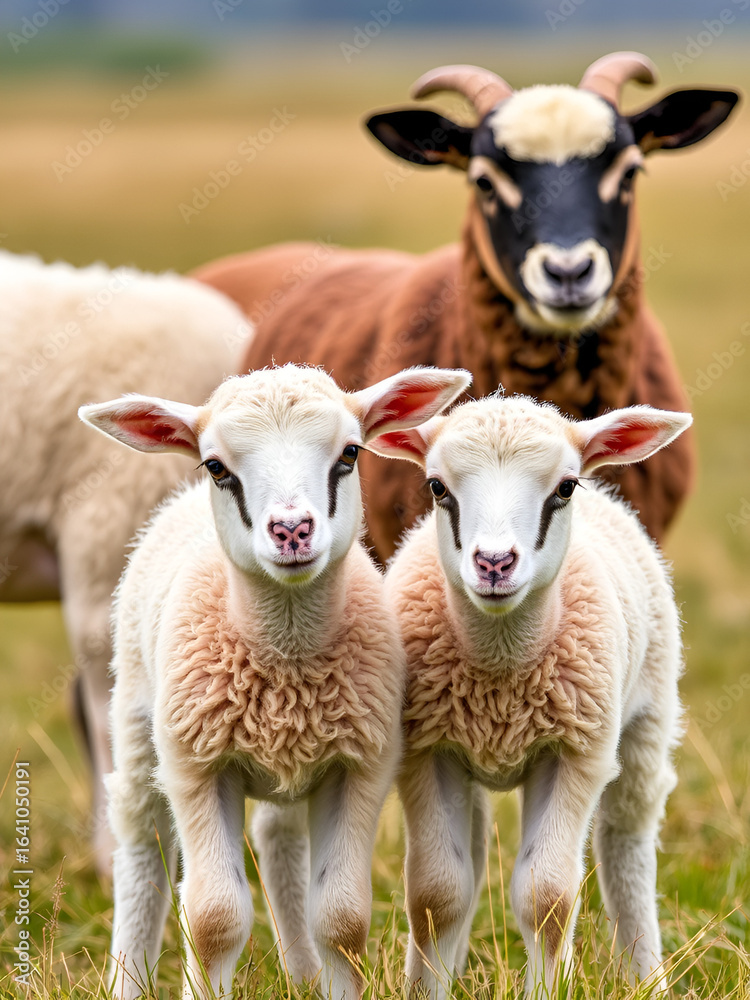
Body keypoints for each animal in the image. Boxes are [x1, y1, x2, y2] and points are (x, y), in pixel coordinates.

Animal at [78, 362, 471, 1000]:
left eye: (350, 453)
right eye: (216, 466)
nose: (292, 529)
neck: (286, 661)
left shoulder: (359, 766)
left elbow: (341, 918)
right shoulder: (196, 767)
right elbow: (212, 919)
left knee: (279, 838)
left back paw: (304, 971)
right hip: (136, 716)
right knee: (139, 845)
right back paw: (127, 977)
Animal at [365, 394, 692, 998]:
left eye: (564, 487)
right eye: (437, 487)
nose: (494, 564)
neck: (502, 669)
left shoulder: (575, 754)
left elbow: (548, 898)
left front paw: (545, 985)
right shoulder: (427, 753)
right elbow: (437, 894)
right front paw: (427, 985)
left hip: (648, 716)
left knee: (626, 843)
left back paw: (647, 974)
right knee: (471, 858)